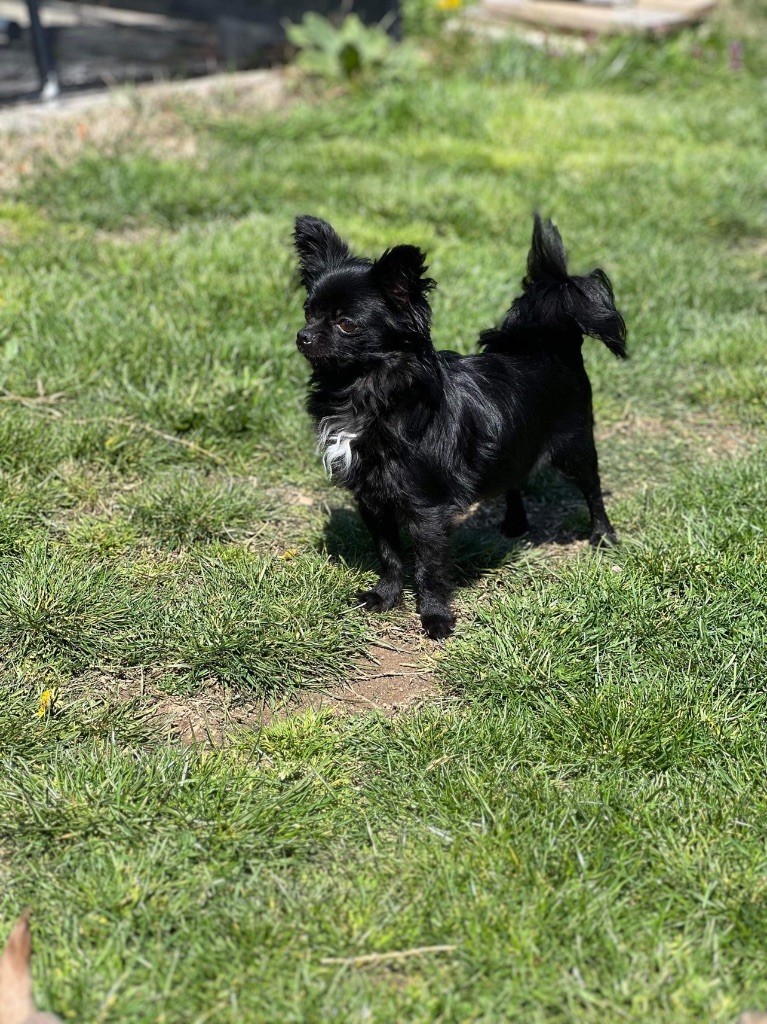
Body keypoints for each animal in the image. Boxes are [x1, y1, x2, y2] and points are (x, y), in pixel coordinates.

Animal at [292, 211, 622, 634]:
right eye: (308, 313)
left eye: (346, 324)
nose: (302, 336)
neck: (367, 393)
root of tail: (550, 342)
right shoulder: (373, 498)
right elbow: (389, 554)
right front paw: (386, 597)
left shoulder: (427, 508)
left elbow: (429, 566)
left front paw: (434, 616)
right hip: (513, 447)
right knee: (513, 478)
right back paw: (514, 524)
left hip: (574, 446)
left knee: (592, 489)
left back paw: (603, 536)